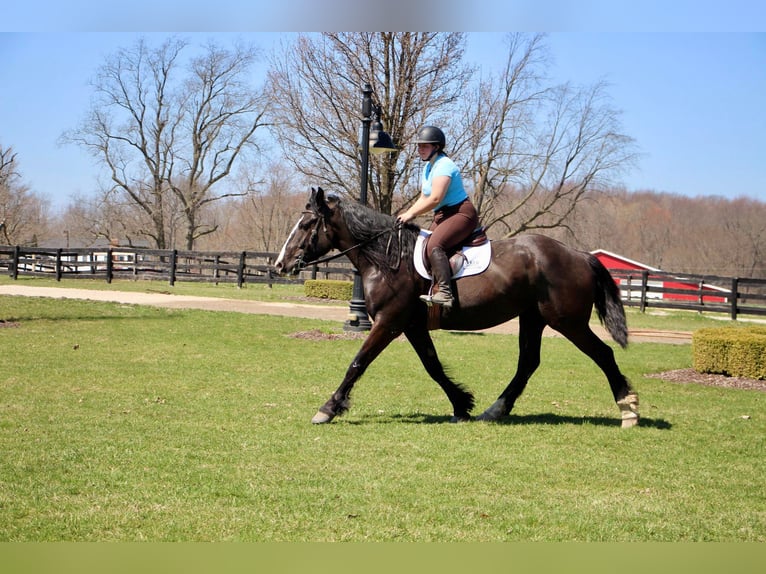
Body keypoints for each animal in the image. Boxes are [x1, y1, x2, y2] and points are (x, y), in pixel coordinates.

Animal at [276, 187, 640, 430]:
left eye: (306, 226)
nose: (281, 264)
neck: (387, 258)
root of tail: (579, 254)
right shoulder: (411, 325)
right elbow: (433, 367)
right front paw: (462, 404)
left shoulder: (389, 322)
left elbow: (357, 363)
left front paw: (328, 408)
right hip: (533, 318)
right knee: (528, 363)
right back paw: (495, 410)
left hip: (567, 321)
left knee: (603, 354)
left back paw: (629, 410)